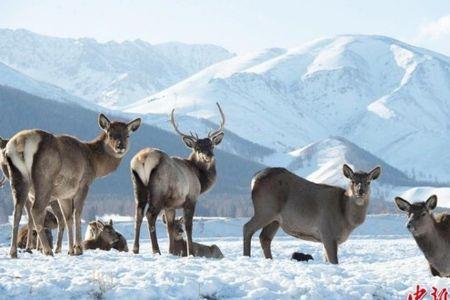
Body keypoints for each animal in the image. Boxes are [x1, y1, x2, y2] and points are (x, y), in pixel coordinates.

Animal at [2, 112, 141, 258]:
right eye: (110, 134)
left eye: (127, 135)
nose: (120, 146)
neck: (95, 164)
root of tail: (20, 142)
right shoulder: (83, 184)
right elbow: (77, 214)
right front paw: (78, 248)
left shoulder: (64, 194)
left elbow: (67, 218)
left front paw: (70, 250)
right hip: (44, 179)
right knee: (36, 211)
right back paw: (47, 250)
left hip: (17, 178)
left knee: (17, 211)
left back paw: (13, 252)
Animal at [130, 102, 225, 255]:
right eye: (197, 148)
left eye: (212, 145)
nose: (209, 155)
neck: (200, 179)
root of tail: (143, 159)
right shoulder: (191, 199)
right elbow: (188, 226)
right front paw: (190, 252)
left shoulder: (170, 206)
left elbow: (169, 228)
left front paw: (171, 252)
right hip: (158, 190)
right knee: (150, 215)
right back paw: (156, 250)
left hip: (138, 186)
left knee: (138, 214)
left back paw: (135, 249)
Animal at [244, 163, 382, 264]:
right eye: (352, 181)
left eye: (368, 182)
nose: (360, 191)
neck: (346, 219)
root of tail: (254, 179)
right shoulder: (327, 232)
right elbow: (334, 261)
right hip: (265, 209)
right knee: (247, 227)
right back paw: (246, 256)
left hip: (275, 219)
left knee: (264, 237)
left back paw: (269, 259)